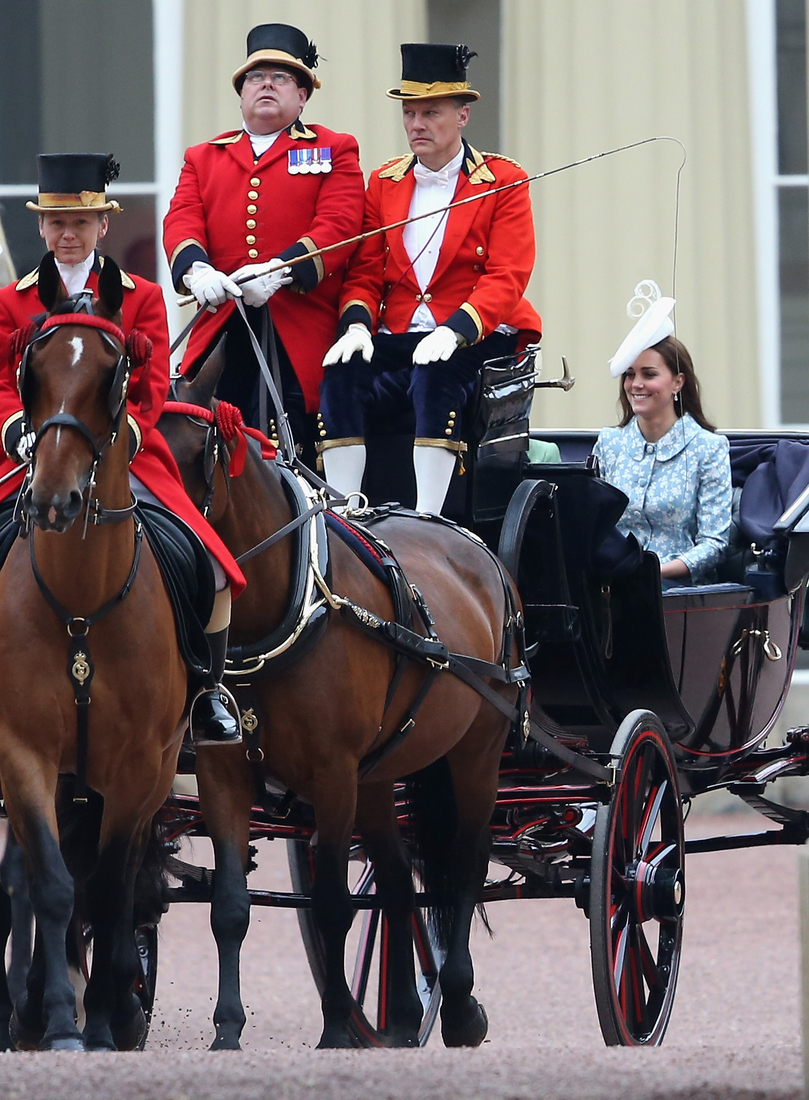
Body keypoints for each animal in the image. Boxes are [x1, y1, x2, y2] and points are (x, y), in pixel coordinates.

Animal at [158, 349, 526, 1047]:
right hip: (381, 772)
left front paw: (333, 1030)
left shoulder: (331, 776)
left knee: (463, 864)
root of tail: (472, 543)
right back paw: (404, 1015)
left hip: (476, 753)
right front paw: (226, 1031)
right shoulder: (224, 771)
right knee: (397, 877)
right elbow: (229, 906)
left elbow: (333, 903)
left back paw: (460, 1004)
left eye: (192, 453)